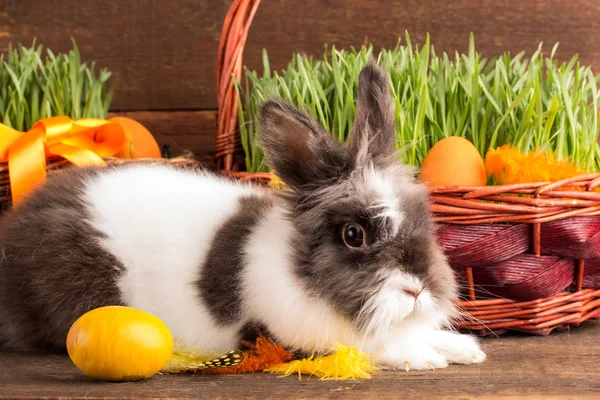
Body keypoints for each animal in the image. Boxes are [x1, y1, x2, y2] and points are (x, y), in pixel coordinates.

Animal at [0, 62, 486, 372]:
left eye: (424, 221)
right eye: (353, 234)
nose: (418, 289)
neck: (298, 270)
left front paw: (465, 349)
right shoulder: (290, 337)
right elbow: (368, 344)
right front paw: (420, 357)